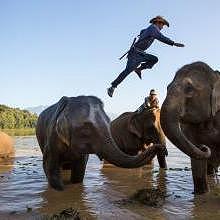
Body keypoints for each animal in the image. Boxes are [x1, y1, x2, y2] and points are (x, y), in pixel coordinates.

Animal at [35, 95, 165, 190]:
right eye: (86, 129)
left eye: (108, 122)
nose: (162, 148)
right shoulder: (51, 138)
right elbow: (50, 166)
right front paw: (61, 189)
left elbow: (79, 170)